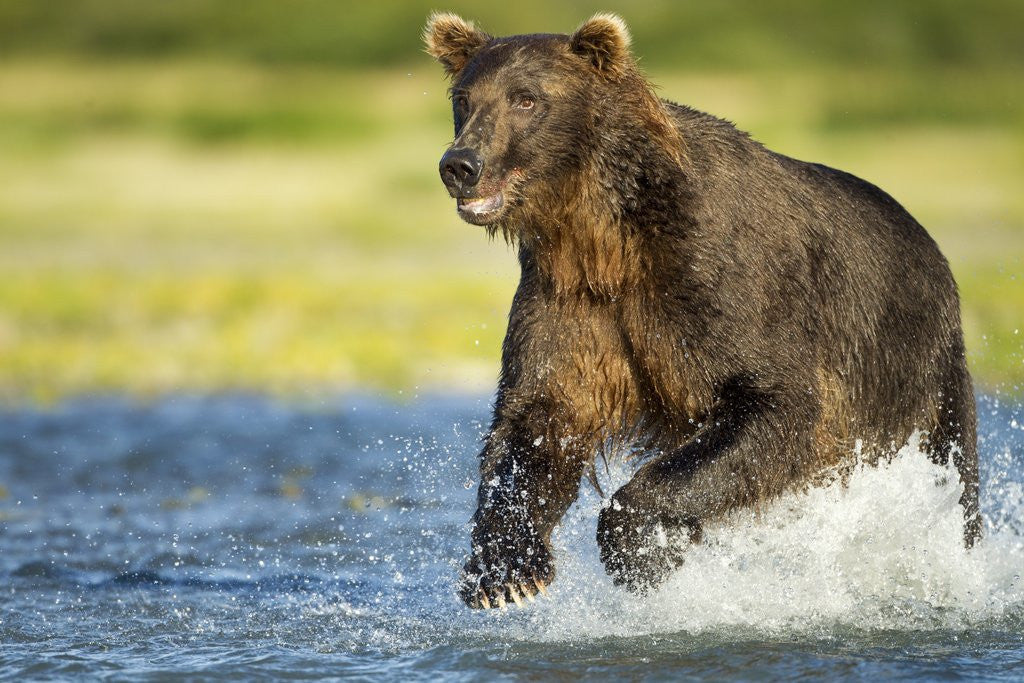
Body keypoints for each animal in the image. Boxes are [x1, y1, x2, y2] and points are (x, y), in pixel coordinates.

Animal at [424, 12, 981, 609]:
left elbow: (777, 403)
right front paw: (505, 571)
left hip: (915, 371)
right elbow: (540, 415)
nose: (460, 165)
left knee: (953, 477)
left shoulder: (721, 283)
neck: (603, 231)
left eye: (526, 99)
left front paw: (641, 552)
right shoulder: (570, 298)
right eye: (464, 98)